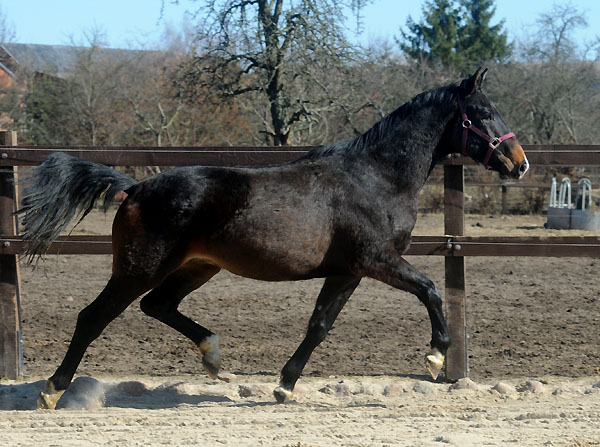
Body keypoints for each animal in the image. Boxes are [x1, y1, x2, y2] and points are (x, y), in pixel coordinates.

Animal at [17, 67, 528, 410]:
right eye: (483, 112)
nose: (519, 163)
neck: (376, 177)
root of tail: (136, 187)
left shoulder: (347, 272)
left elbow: (318, 326)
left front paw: (285, 386)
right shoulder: (377, 260)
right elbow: (431, 290)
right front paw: (436, 357)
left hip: (197, 266)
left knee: (158, 305)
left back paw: (215, 358)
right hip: (140, 266)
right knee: (94, 317)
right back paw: (52, 391)